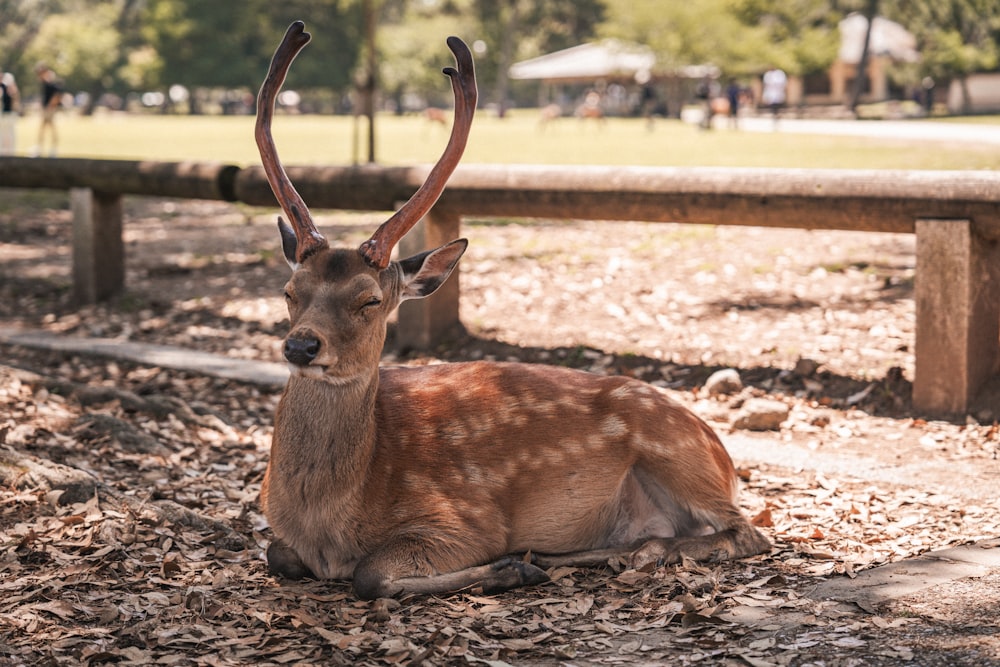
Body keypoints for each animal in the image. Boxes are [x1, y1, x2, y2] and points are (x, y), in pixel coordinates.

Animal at [254, 23, 768, 604]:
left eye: (370, 300)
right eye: (290, 290)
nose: (301, 345)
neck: (327, 526)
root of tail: (721, 450)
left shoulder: (465, 518)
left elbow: (370, 575)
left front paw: (505, 567)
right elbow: (277, 555)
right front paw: (518, 566)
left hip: (677, 453)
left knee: (749, 532)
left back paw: (617, 554)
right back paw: (585, 553)